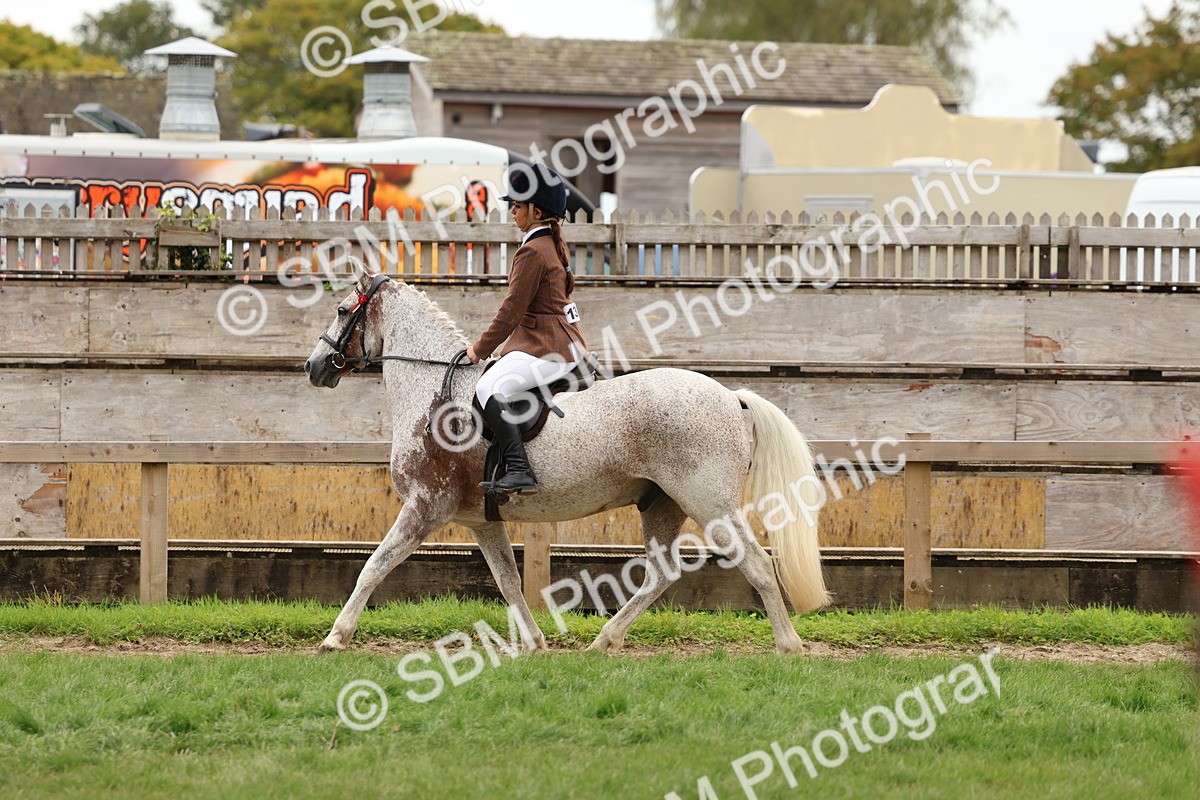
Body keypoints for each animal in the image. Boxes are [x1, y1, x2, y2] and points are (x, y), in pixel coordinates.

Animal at [303, 261, 829, 654]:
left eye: (341, 309)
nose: (312, 366)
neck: (435, 390)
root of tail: (731, 397)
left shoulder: (424, 507)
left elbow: (374, 566)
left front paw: (336, 636)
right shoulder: (480, 520)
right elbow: (508, 581)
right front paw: (535, 642)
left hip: (708, 501)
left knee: (757, 564)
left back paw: (789, 646)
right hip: (663, 503)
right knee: (662, 573)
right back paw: (604, 640)